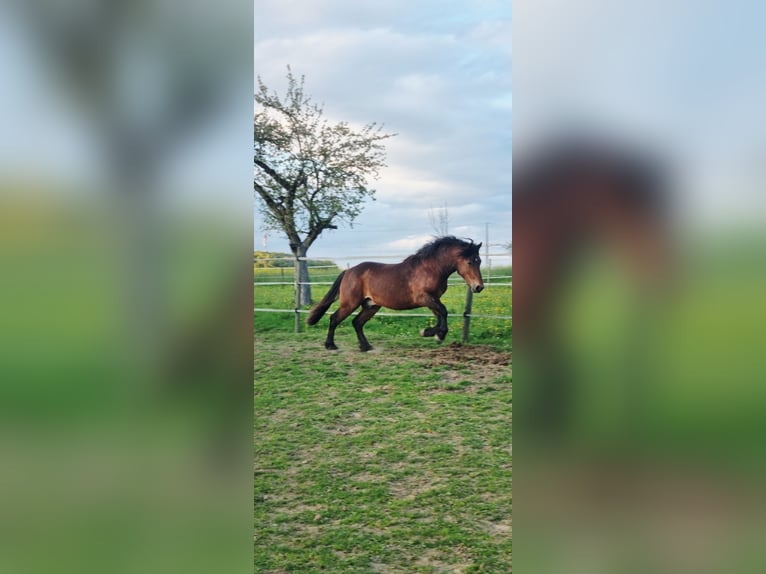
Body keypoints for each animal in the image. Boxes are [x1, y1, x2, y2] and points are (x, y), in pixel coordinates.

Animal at [307, 236, 485, 351]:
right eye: (470, 261)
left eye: (479, 261)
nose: (478, 287)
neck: (431, 269)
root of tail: (348, 271)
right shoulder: (424, 298)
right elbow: (444, 312)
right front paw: (429, 333)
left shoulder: (433, 299)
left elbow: (441, 315)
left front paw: (437, 335)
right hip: (350, 303)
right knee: (334, 318)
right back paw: (330, 345)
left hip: (371, 306)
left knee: (357, 322)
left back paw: (366, 346)